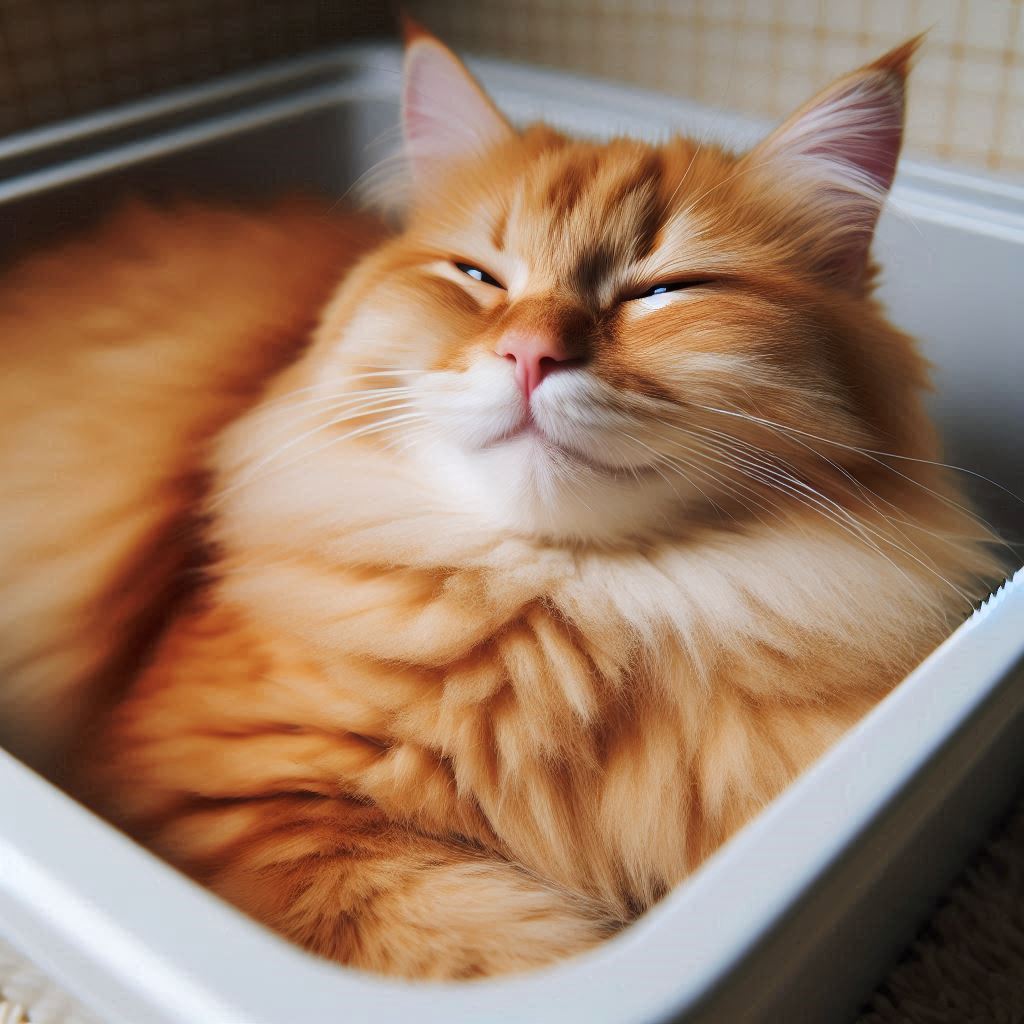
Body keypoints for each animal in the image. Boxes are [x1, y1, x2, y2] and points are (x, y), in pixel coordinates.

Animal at [8, 28, 1003, 978]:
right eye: (479, 278)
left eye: (664, 292)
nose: (530, 353)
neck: (568, 621)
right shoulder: (243, 798)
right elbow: (500, 954)